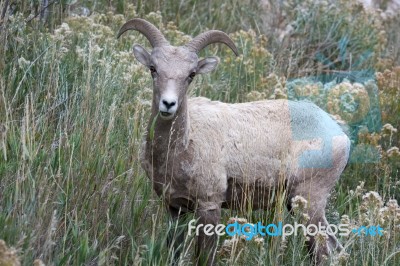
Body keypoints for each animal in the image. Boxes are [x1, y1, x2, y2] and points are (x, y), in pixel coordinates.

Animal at [118, 18, 350, 264]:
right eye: (153, 69)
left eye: (191, 74)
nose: (168, 104)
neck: (182, 146)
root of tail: (341, 135)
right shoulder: (175, 208)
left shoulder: (209, 206)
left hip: (309, 202)